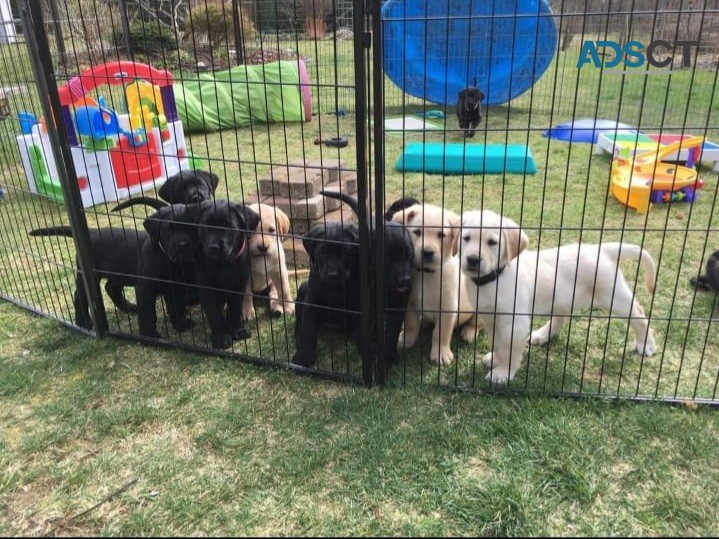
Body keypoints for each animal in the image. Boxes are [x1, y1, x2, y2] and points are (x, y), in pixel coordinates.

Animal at [136, 205, 204, 340]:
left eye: (190, 227)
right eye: (167, 229)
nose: (182, 244)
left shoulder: (176, 287)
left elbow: (175, 305)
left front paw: (181, 324)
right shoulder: (146, 287)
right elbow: (148, 312)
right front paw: (148, 335)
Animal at [194, 200, 258, 348]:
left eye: (228, 226)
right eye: (206, 225)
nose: (213, 247)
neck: (223, 265)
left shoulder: (239, 285)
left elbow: (235, 309)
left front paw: (237, 330)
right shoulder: (207, 288)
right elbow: (214, 314)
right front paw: (221, 337)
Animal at [390, 204, 480, 368]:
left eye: (441, 235)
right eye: (417, 232)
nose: (427, 252)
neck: (426, 273)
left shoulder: (447, 308)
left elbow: (440, 332)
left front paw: (440, 353)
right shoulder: (410, 302)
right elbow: (411, 323)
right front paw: (407, 339)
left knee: (476, 323)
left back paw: (469, 332)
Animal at [462, 210, 660, 384]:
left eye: (492, 242)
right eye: (466, 238)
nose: (472, 259)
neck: (495, 277)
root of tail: (600, 249)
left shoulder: (515, 323)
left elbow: (509, 349)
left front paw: (502, 373)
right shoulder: (491, 318)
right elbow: (498, 343)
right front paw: (495, 359)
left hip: (612, 295)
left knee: (639, 315)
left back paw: (645, 344)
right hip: (563, 298)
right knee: (561, 318)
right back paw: (542, 335)